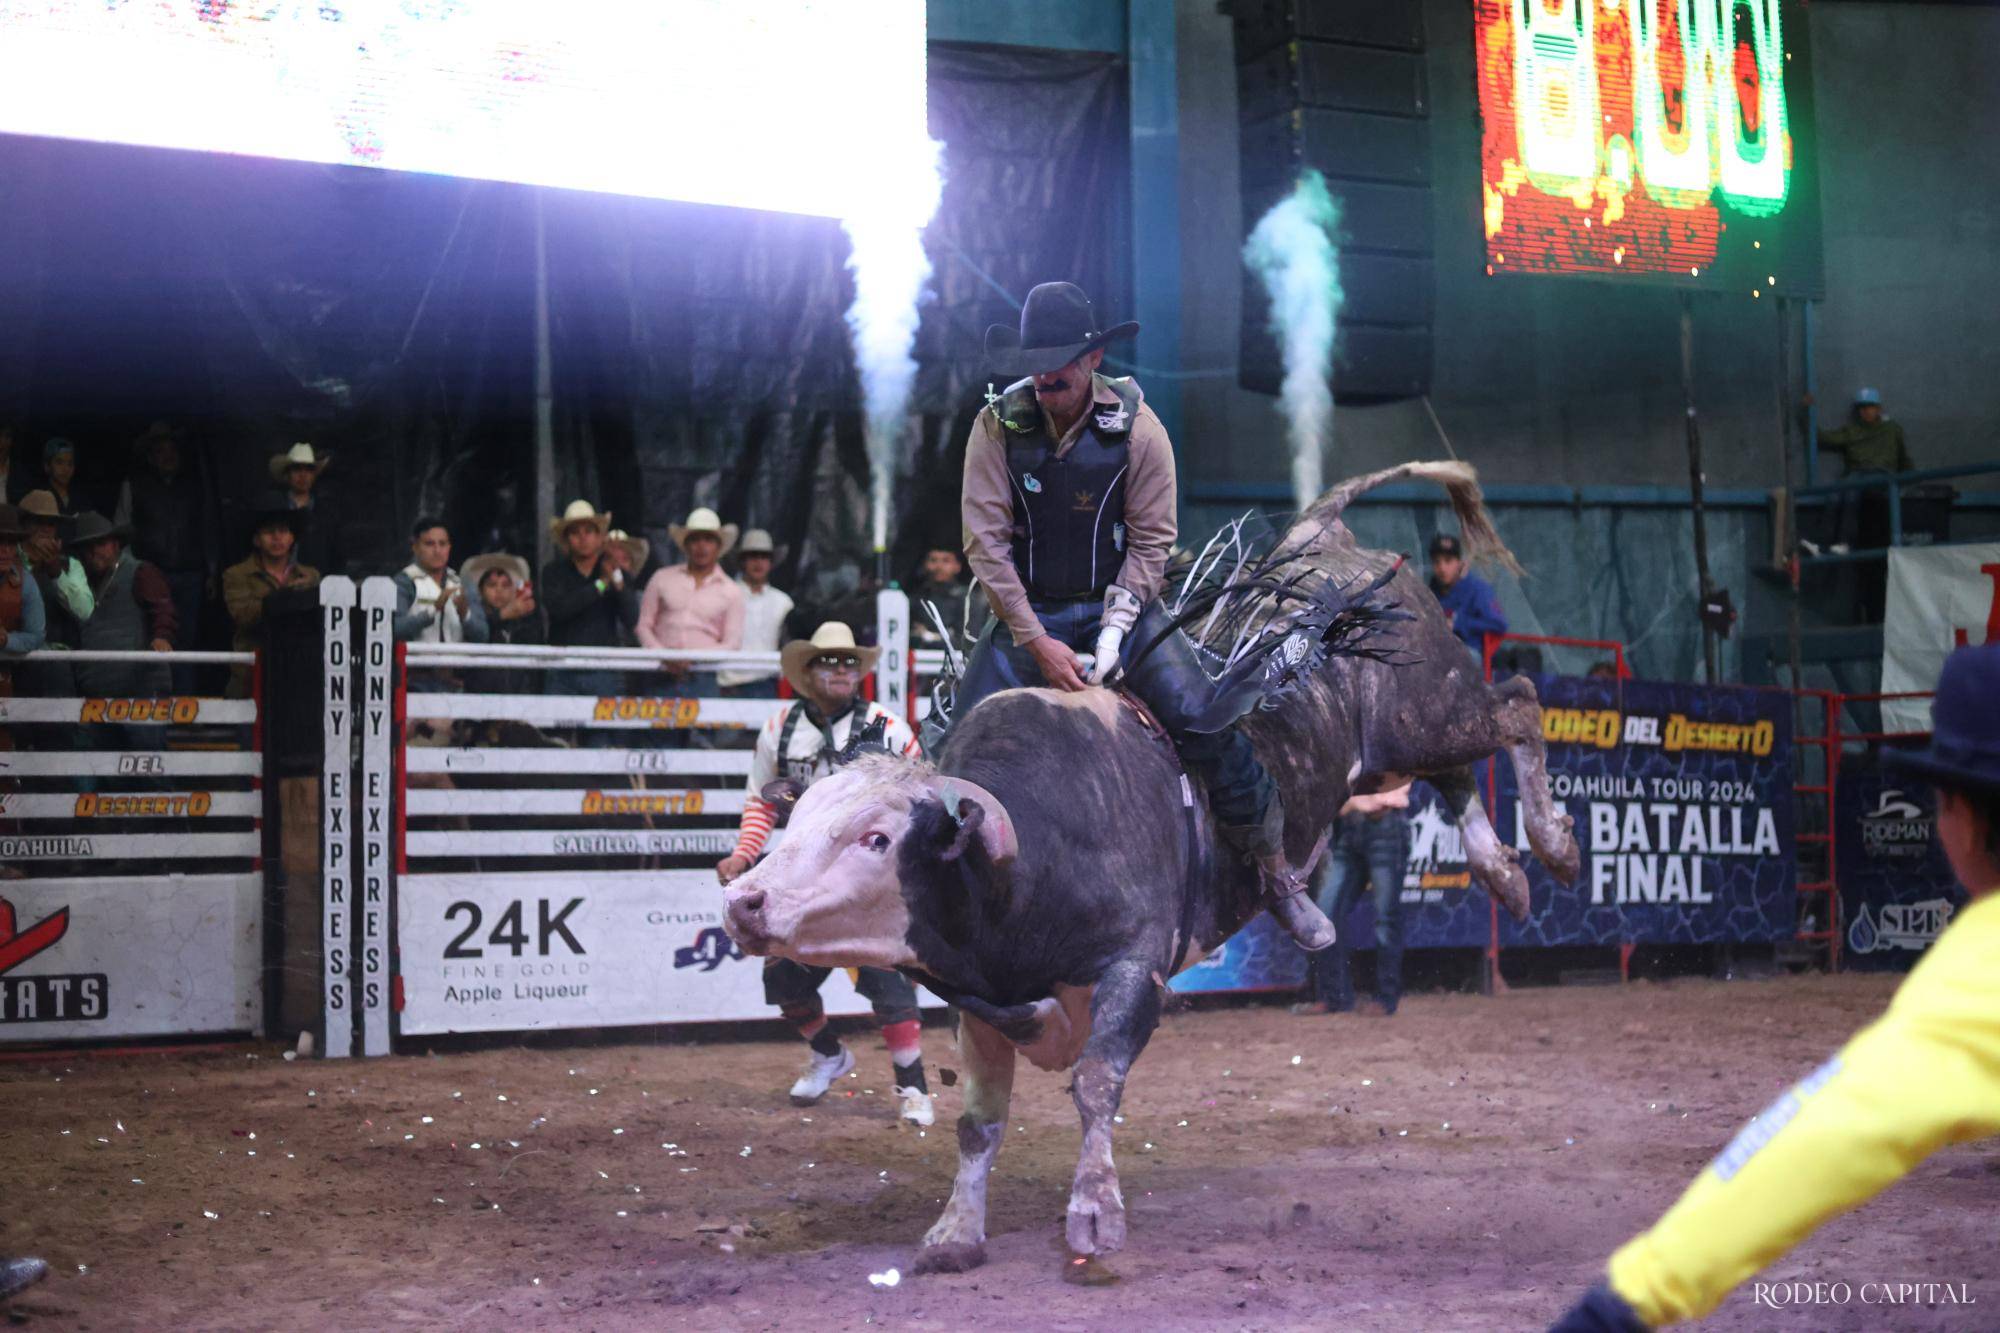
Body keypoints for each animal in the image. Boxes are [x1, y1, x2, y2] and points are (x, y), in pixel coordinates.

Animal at [720, 462, 1576, 1272]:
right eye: (797, 818)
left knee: (1517, 701)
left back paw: (1552, 845)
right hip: (1390, 753)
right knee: (1460, 773)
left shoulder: (1136, 967)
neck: (1026, 862)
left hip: (1425, 707)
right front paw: (955, 1232)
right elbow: (977, 1123)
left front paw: (1094, 1213)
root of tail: (1324, 542)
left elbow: (1096, 1079)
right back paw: (1504, 872)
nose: (744, 902)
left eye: (876, 838)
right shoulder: (983, 1002)